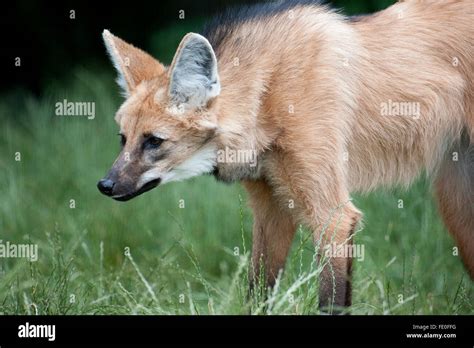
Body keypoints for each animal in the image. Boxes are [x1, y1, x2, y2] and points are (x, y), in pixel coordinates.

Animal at [97, 0, 474, 310]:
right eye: (123, 139)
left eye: (153, 141)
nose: (104, 185)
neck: (267, 95)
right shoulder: (271, 210)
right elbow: (258, 290)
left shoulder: (334, 217)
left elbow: (330, 298)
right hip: (457, 206)